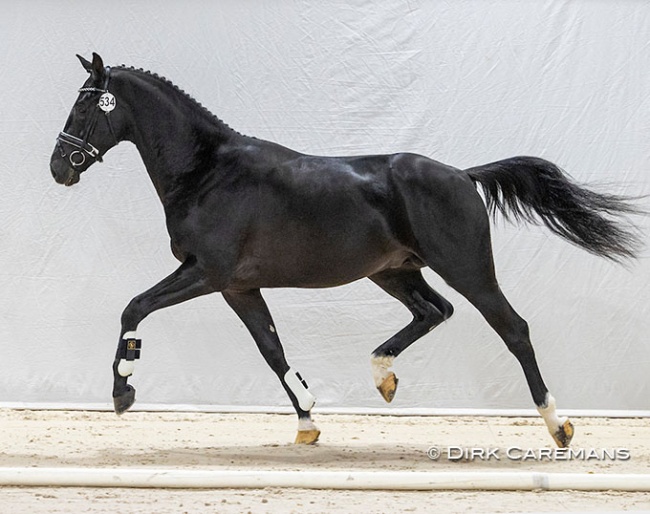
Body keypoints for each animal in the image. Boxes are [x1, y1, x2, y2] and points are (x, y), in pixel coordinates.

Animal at [49, 52, 636, 444]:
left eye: (83, 107)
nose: (59, 167)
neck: (210, 173)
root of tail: (463, 175)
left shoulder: (207, 272)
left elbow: (134, 306)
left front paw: (122, 393)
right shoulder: (237, 287)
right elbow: (271, 348)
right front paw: (308, 419)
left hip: (466, 267)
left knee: (513, 328)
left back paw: (559, 425)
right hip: (395, 271)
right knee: (435, 310)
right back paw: (384, 376)